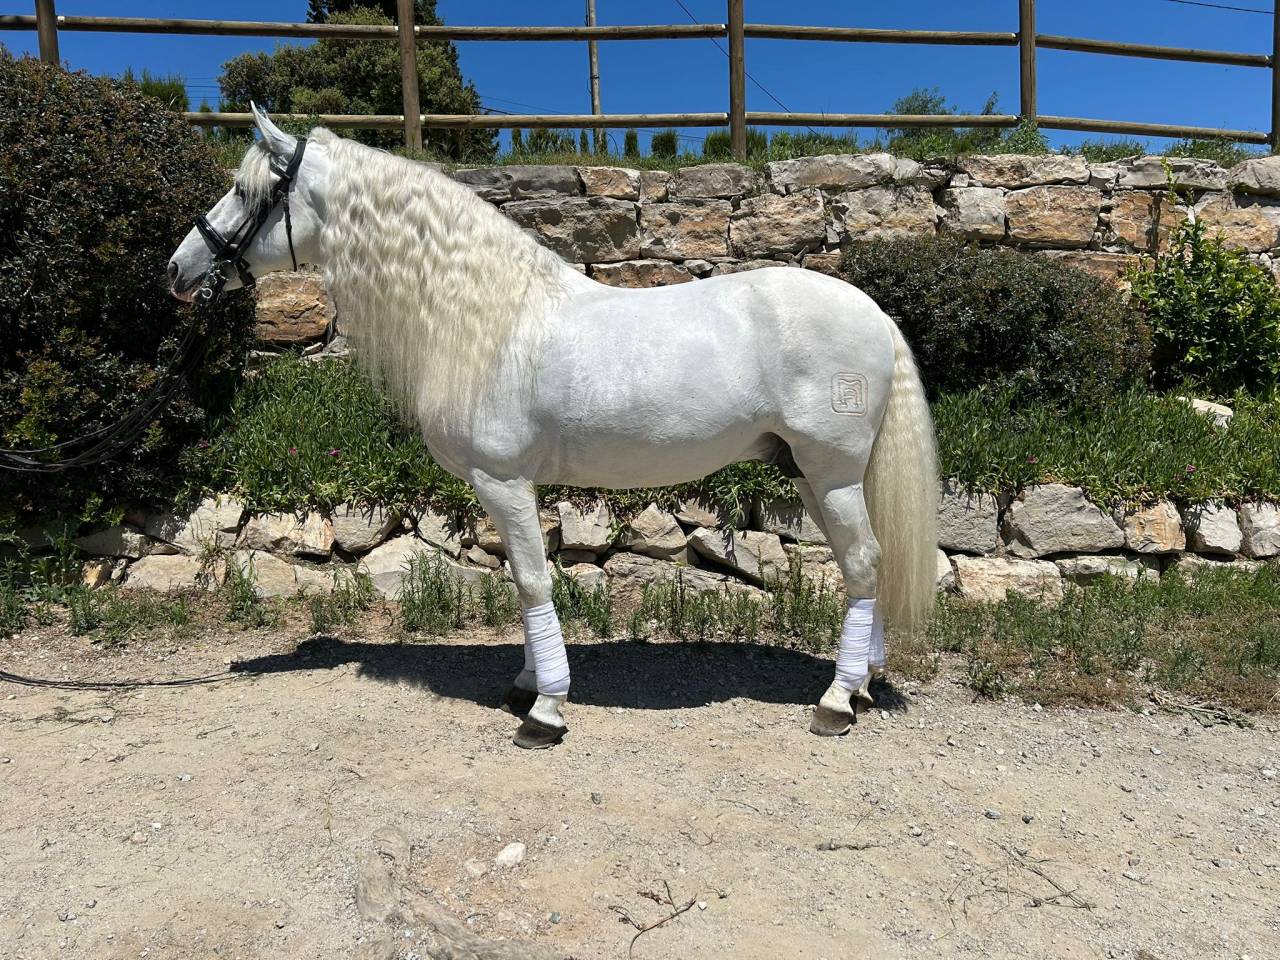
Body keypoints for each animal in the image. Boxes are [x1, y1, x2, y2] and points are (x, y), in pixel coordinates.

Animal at [168, 106, 938, 749]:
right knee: (863, 562)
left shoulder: (503, 481)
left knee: (864, 562)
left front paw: (545, 710)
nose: (179, 269)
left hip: (830, 472)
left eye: (245, 192)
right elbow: (522, 582)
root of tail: (874, 314)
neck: (487, 318)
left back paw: (836, 701)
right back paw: (863, 684)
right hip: (806, 472)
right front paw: (529, 685)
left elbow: (535, 582)